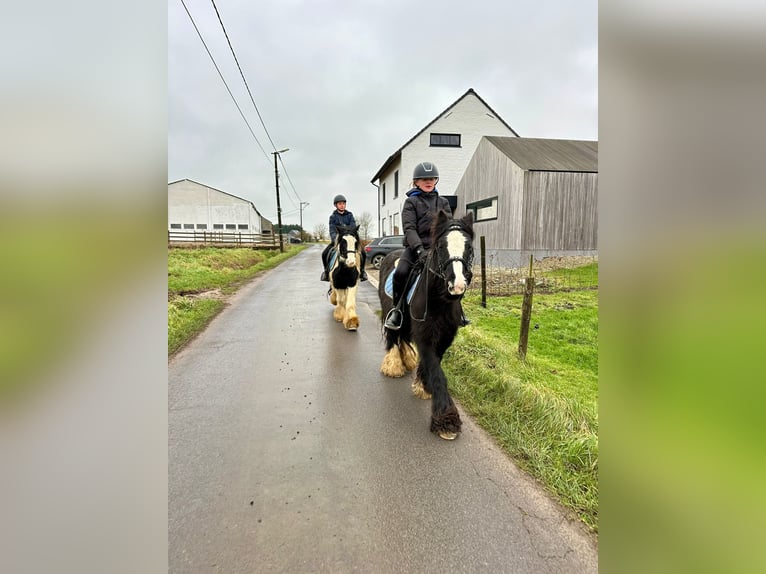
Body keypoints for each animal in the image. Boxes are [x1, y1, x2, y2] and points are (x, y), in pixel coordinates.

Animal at [378, 212, 474, 440]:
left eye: (469, 247)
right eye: (440, 246)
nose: (457, 285)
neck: (439, 300)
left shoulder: (444, 337)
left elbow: (434, 364)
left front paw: (423, 385)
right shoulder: (424, 337)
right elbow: (437, 372)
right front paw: (447, 420)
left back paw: (406, 360)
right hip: (389, 312)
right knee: (393, 338)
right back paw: (394, 366)